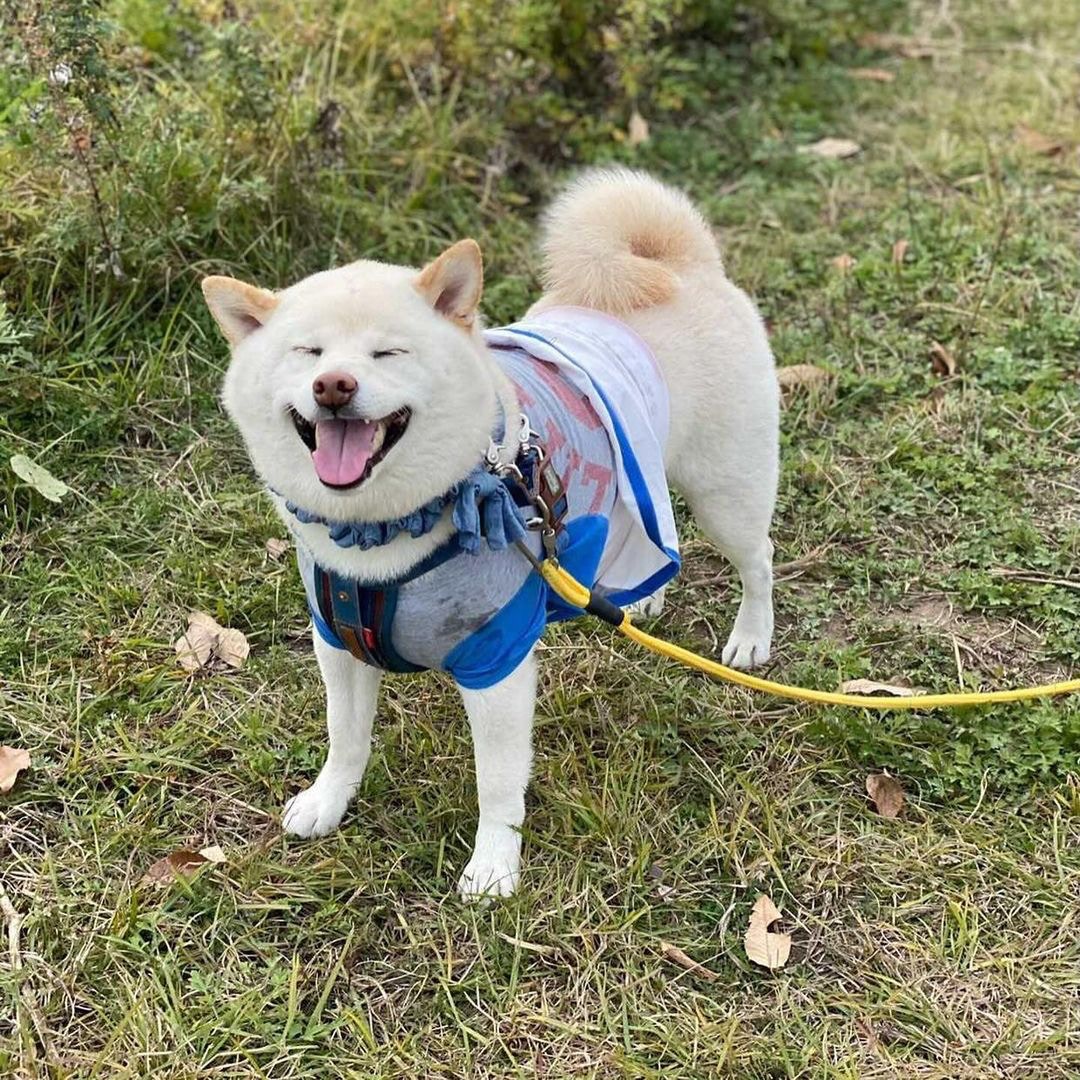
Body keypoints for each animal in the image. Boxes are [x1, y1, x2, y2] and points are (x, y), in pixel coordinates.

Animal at [203, 166, 777, 894]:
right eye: (307, 352)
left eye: (388, 352)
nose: (333, 384)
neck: (382, 535)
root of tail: (677, 265)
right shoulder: (337, 643)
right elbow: (345, 738)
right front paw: (328, 802)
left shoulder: (496, 664)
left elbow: (497, 784)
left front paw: (494, 867)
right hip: (641, 484)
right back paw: (644, 597)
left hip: (725, 493)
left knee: (758, 559)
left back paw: (751, 638)